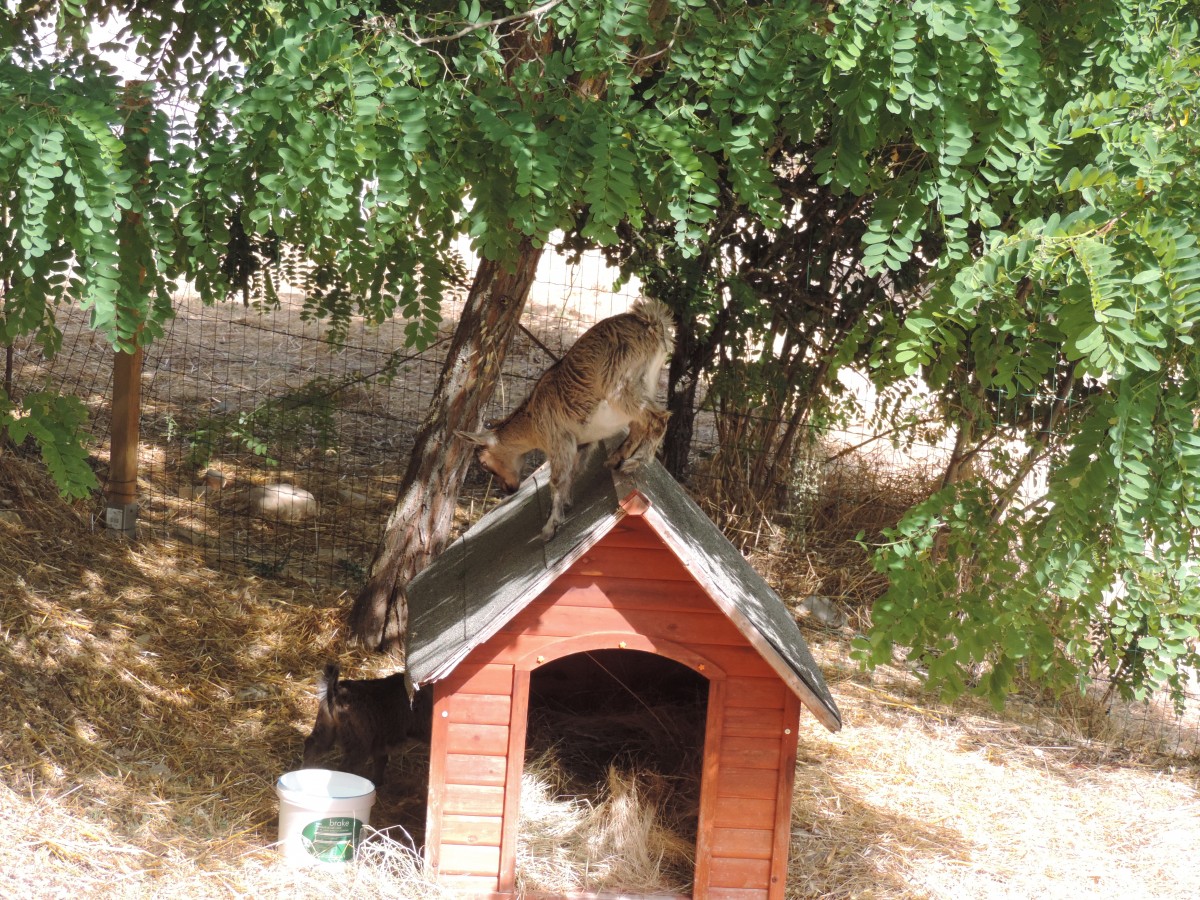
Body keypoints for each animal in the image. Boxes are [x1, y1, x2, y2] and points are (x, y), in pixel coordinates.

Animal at [302, 667, 434, 787]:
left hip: (325, 731)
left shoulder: (380, 739)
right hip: (358, 744)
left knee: (310, 746)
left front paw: (377, 782)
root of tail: (335, 692)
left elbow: (381, 759)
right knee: (344, 768)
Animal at [458, 300, 676, 542]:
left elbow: (556, 481)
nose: (509, 489)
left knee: (658, 417)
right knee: (641, 424)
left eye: (484, 463)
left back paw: (634, 462)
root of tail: (653, 322)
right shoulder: (580, 441)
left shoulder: (558, 440)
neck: (533, 420)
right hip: (644, 385)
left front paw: (549, 527)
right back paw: (617, 459)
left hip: (619, 387)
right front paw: (566, 505)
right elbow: (574, 472)